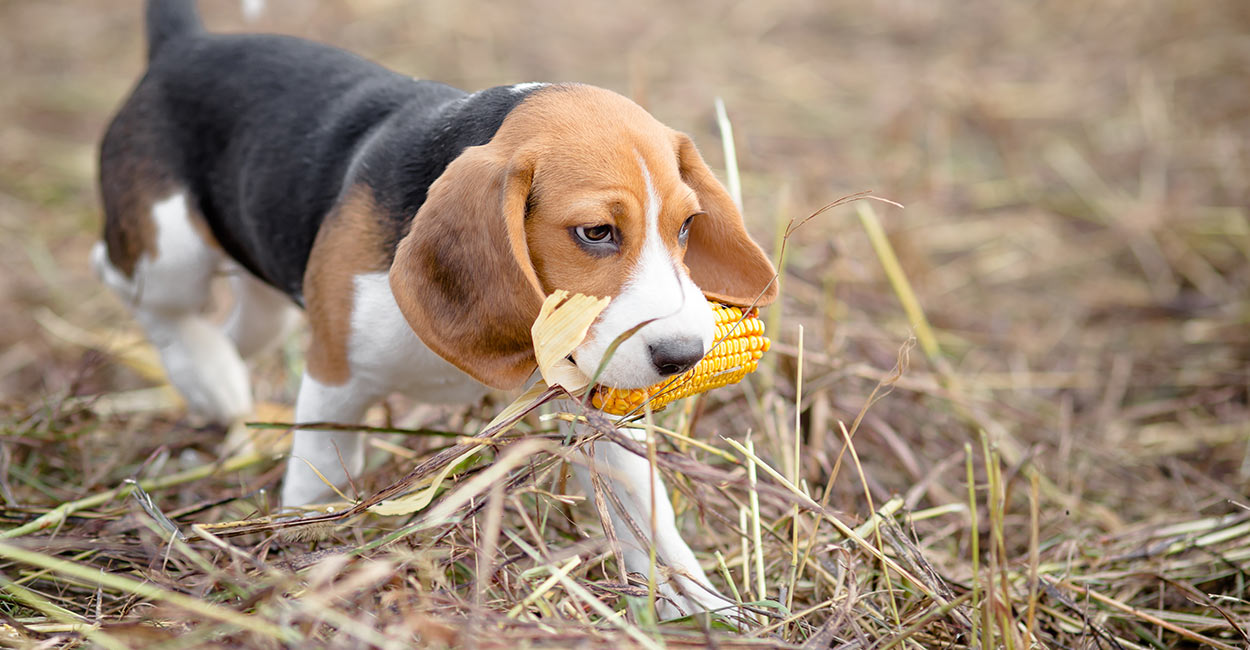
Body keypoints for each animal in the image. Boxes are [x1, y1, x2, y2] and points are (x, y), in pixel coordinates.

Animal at [97, 1, 775, 620]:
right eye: (596, 233)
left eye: (686, 226)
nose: (685, 355)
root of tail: (185, 44)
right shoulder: (335, 381)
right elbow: (317, 477)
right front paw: (300, 565)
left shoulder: (586, 403)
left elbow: (645, 507)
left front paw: (705, 605)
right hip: (171, 254)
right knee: (127, 281)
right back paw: (204, 372)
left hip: (266, 299)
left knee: (238, 328)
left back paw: (218, 385)